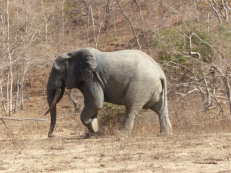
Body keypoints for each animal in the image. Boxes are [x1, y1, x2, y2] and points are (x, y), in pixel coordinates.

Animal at [44, 48, 172, 137]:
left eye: (56, 71)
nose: (50, 135)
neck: (74, 53)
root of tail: (160, 73)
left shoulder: (92, 78)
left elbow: (96, 103)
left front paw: (94, 126)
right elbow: (92, 104)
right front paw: (92, 133)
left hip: (141, 85)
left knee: (131, 107)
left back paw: (120, 134)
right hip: (154, 89)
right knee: (160, 109)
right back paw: (165, 134)